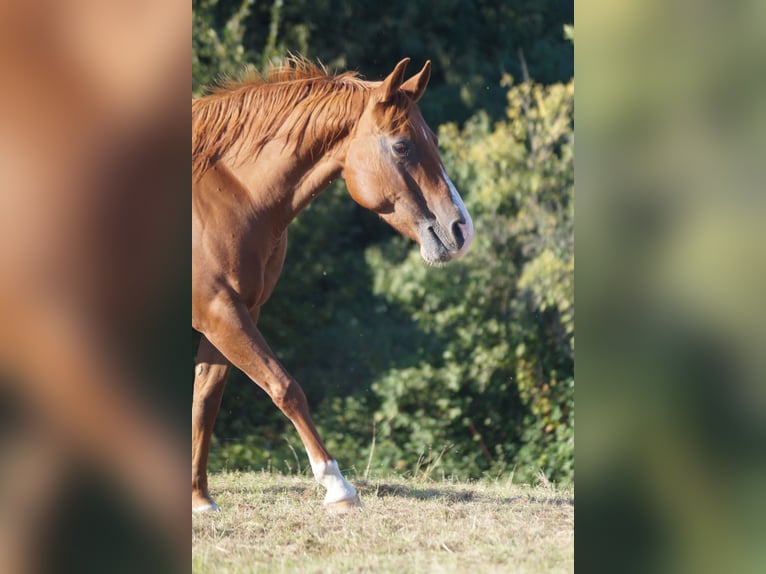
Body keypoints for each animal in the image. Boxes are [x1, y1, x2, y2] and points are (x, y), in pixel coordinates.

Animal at [192, 56, 474, 510]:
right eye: (402, 146)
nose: (461, 229)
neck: (225, 194)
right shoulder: (218, 312)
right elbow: (285, 386)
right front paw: (338, 487)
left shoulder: (234, 312)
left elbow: (205, 401)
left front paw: (200, 498)